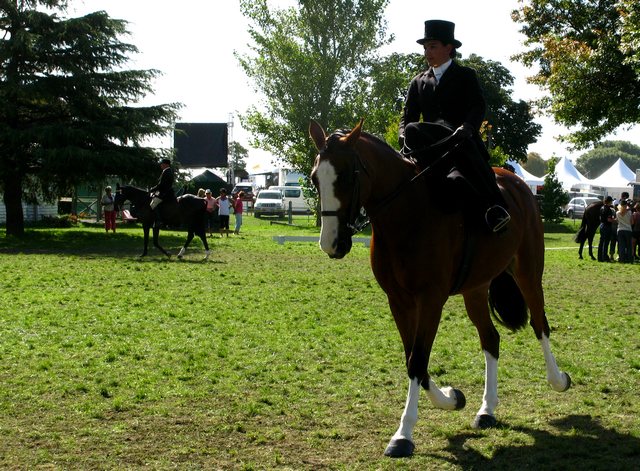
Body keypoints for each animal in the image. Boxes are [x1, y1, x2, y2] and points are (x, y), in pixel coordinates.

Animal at [308, 120, 568, 460]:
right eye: (315, 178)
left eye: (347, 176)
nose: (331, 244)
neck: (407, 214)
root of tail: (518, 185)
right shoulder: (399, 301)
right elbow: (412, 358)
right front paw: (451, 398)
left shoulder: (431, 300)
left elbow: (418, 360)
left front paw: (403, 434)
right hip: (476, 289)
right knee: (491, 339)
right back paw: (487, 410)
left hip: (528, 274)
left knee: (540, 325)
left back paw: (558, 380)